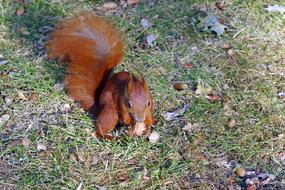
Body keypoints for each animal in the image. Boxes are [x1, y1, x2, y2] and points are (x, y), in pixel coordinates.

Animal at [46, 12, 153, 140]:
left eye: (148, 103)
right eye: (129, 104)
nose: (140, 120)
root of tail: (99, 108)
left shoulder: (149, 106)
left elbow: (150, 116)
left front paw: (147, 128)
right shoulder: (121, 101)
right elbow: (124, 115)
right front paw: (129, 124)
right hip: (110, 111)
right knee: (100, 130)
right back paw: (109, 137)